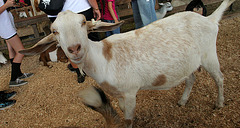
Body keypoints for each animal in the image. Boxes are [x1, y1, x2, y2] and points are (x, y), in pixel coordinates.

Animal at [19, 0, 235, 126]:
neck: (104, 59)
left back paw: (219, 103)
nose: (74, 48)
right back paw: (182, 101)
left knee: (219, 78)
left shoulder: (131, 91)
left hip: (209, 55)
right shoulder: (119, 94)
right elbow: (123, 111)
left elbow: (128, 119)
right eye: (54, 31)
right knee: (190, 79)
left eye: (83, 22)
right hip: (188, 62)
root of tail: (210, 19)